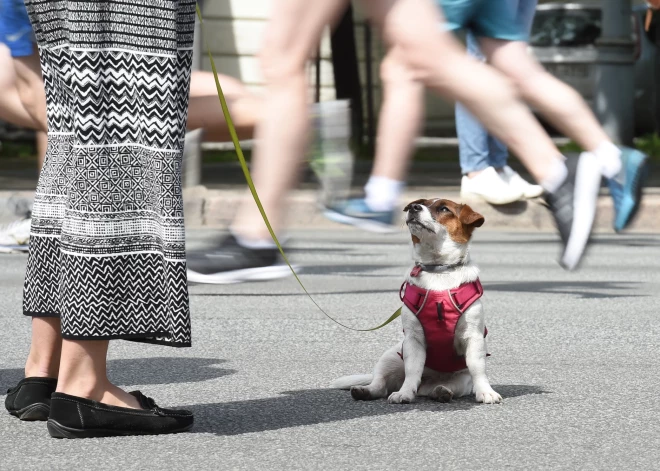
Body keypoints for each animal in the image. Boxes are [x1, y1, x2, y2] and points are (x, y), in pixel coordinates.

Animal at [332, 197, 502, 404]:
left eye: (444, 209)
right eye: (422, 202)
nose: (414, 207)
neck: (438, 269)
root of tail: (428, 381)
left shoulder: (473, 337)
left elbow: (478, 368)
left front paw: (485, 391)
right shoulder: (413, 340)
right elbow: (413, 369)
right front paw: (404, 393)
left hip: (461, 380)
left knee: (438, 388)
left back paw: (441, 391)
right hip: (391, 357)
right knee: (381, 384)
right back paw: (366, 390)